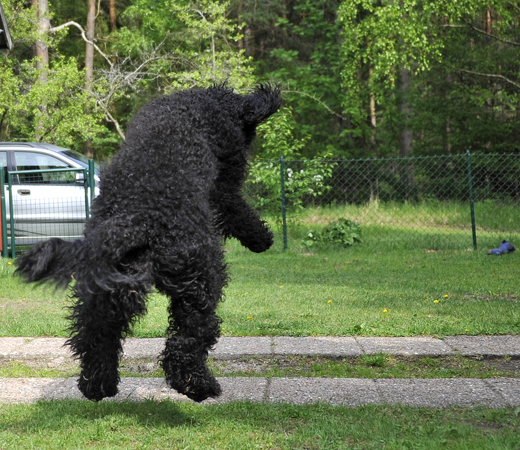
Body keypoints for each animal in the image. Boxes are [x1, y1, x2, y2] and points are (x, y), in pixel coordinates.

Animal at [16, 86, 282, 402]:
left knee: (95, 335)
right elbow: (237, 208)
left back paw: (97, 385)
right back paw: (198, 385)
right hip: (201, 282)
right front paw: (261, 238)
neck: (200, 108)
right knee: (187, 340)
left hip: (107, 293)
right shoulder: (224, 184)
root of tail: (138, 219)